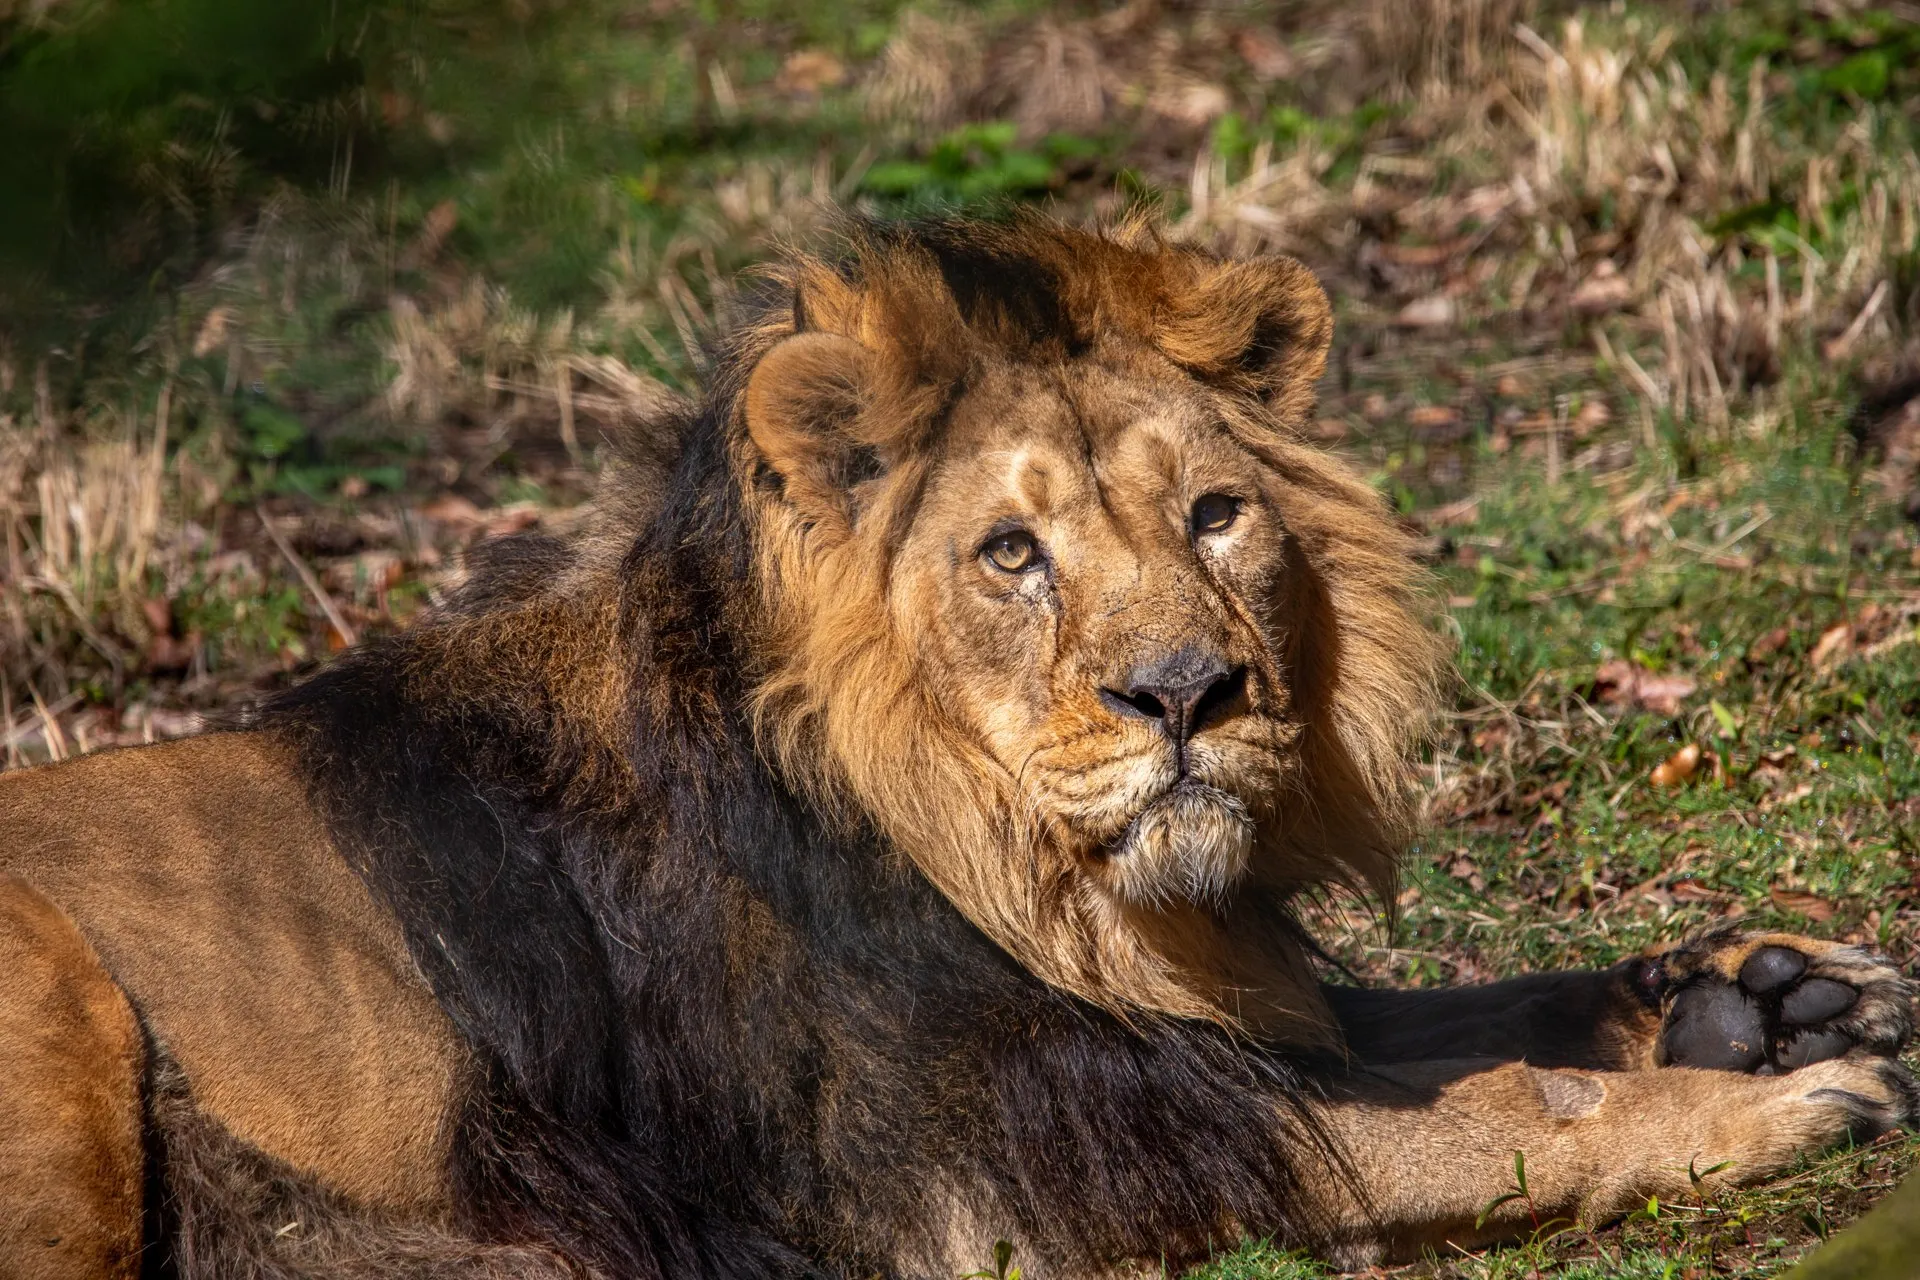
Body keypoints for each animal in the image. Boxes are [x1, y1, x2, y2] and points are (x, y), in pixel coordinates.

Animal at [1, 213, 1913, 1279]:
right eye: (1012, 554)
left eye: (1216, 514)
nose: (1189, 694)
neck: (1021, 873)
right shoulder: (1013, 1175)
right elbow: (1501, 1110)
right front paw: (1778, 1095)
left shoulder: (1198, 1038)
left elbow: (1459, 1019)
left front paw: (1767, 991)